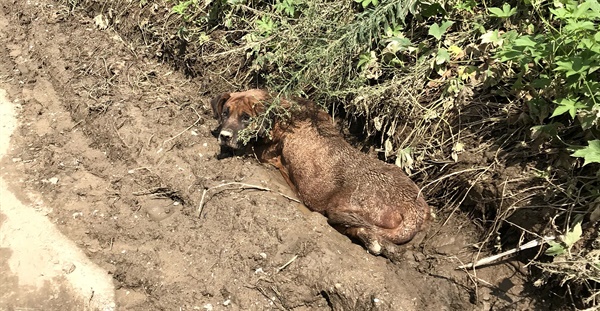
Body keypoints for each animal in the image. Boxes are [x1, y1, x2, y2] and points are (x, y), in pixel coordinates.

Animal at [211, 90, 432, 256]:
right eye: (225, 113)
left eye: (246, 118)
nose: (224, 136)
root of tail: (414, 210)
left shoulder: (263, 152)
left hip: (339, 206)